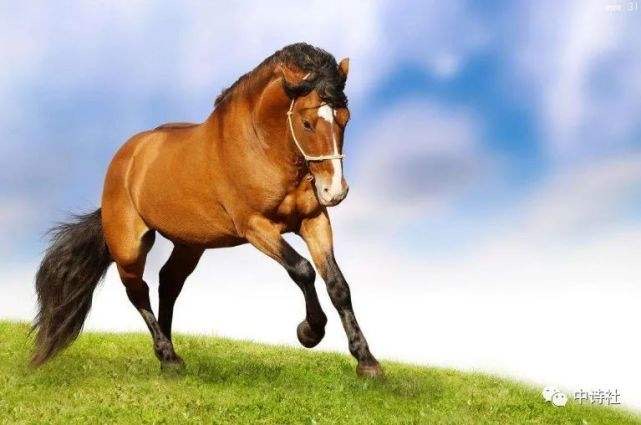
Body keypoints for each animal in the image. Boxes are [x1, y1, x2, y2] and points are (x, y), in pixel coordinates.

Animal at [32, 43, 382, 378]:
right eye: (307, 123)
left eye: (345, 118)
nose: (335, 191)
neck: (262, 147)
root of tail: (126, 158)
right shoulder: (255, 226)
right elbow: (302, 269)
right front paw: (309, 332)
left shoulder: (313, 220)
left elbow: (337, 284)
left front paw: (367, 362)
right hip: (129, 246)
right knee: (138, 290)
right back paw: (167, 356)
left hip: (190, 243)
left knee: (168, 283)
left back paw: (169, 356)